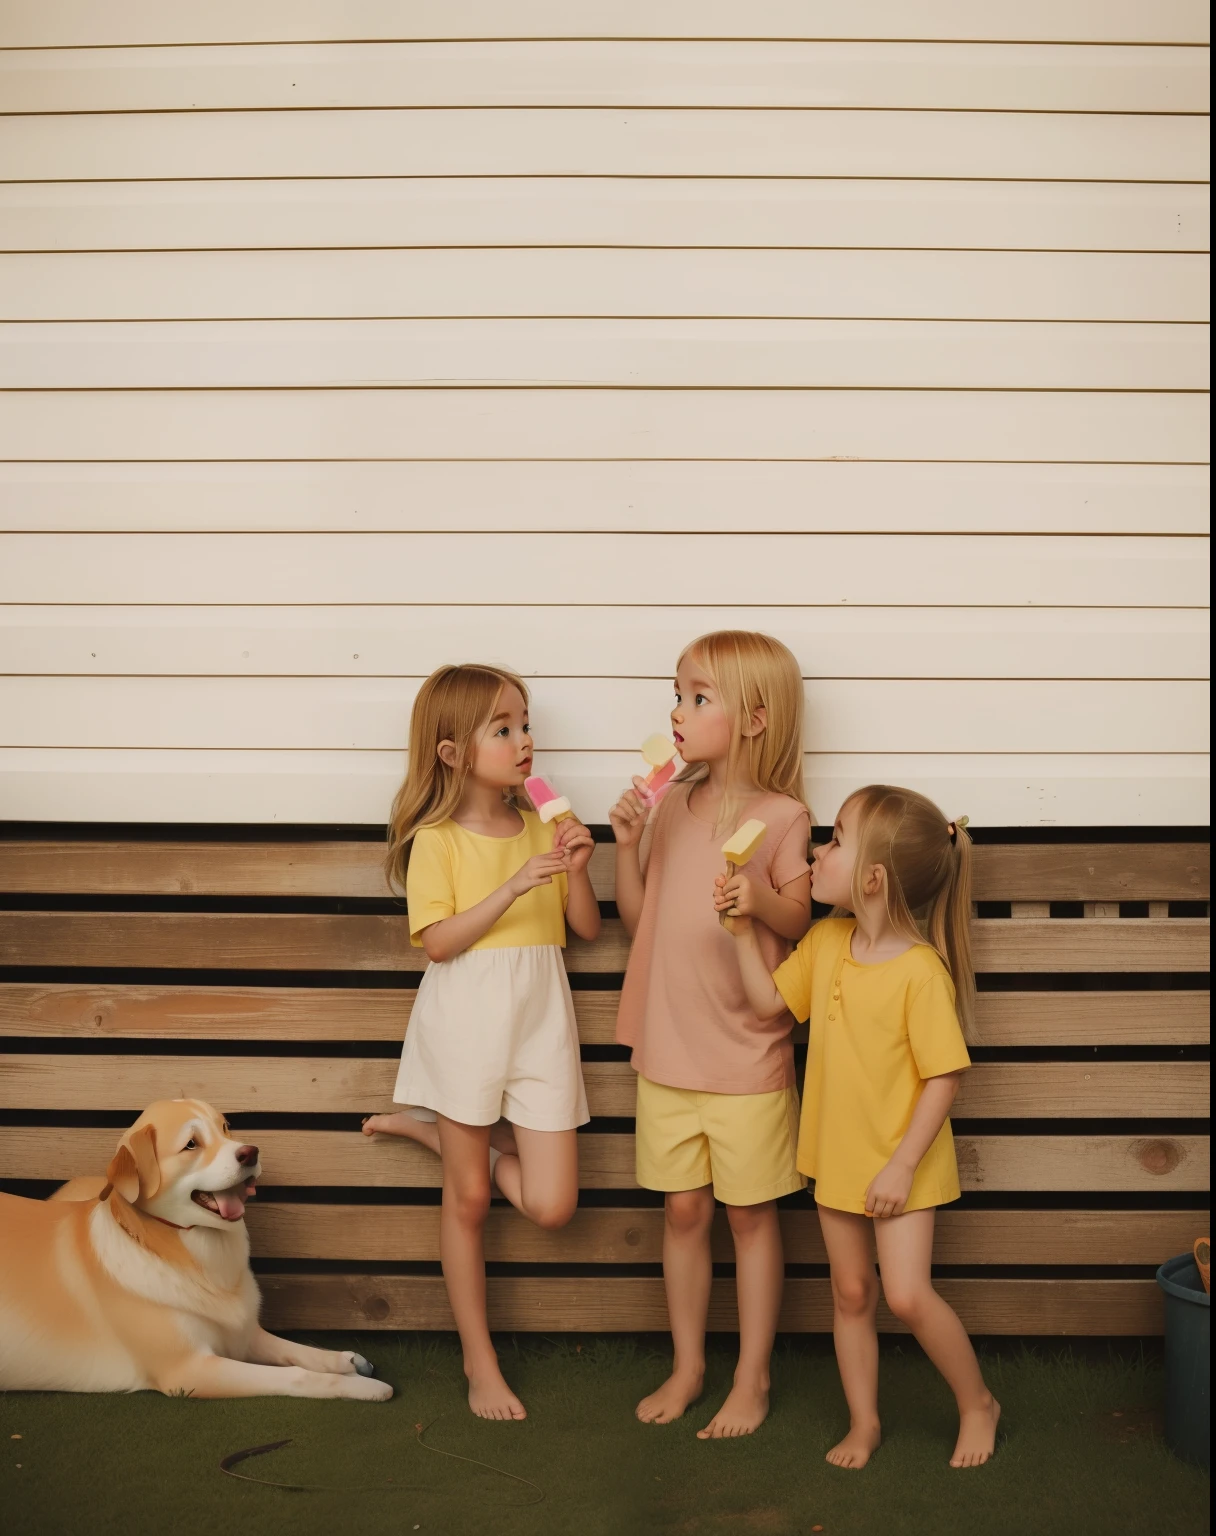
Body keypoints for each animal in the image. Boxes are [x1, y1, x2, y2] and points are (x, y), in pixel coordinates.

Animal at [0, 1093, 389, 1406]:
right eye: (191, 1144)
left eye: (226, 1128)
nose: (251, 1152)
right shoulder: (191, 1371)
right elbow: (296, 1374)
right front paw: (360, 1386)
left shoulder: (242, 1334)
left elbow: (298, 1352)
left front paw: (345, 1361)